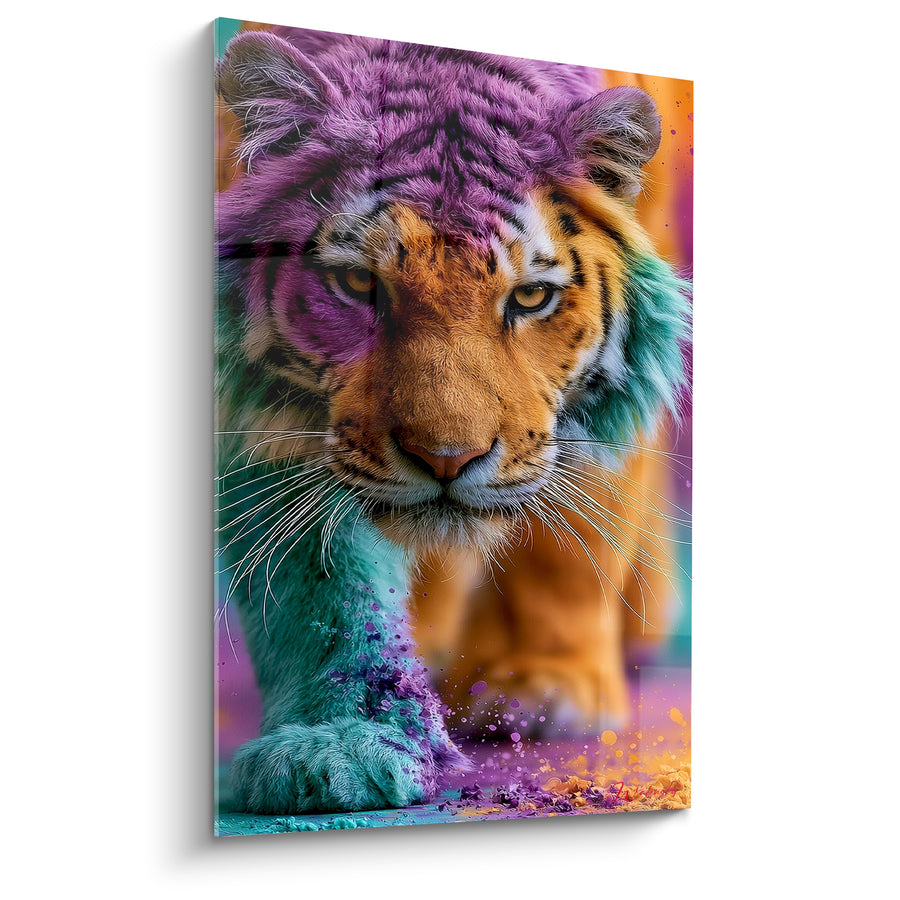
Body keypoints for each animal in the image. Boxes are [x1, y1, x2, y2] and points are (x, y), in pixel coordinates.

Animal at [215, 23, 690, 815]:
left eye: (529, 297)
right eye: (357, 284)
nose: (446, 460)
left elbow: (574, 532)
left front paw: (544, 683)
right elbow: (326, 589)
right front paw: (336, 742)